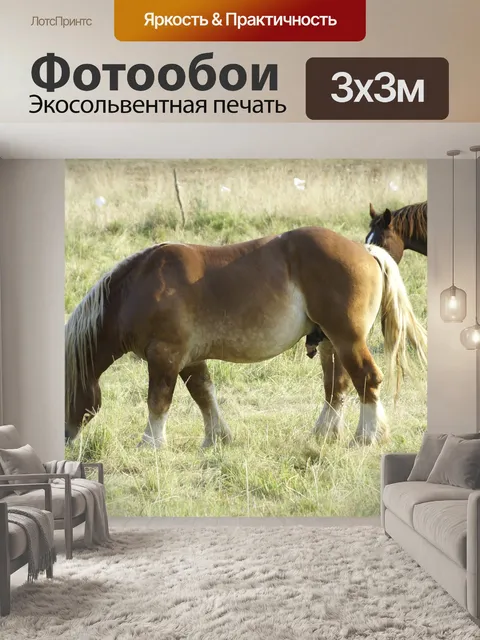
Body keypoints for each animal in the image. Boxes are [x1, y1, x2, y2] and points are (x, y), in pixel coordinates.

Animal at [65, 227, 427, 448]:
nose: (65, 439)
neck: (139, 287)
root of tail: (365, 250)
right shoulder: (190, 358)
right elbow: (204, 395)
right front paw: (217, 438)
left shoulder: (165, 356)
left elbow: (158, 402)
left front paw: (150, 445)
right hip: (330, 343)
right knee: (336, 387)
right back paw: (323, 435)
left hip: (347, 340)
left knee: (367, 380)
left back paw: (365, 438)